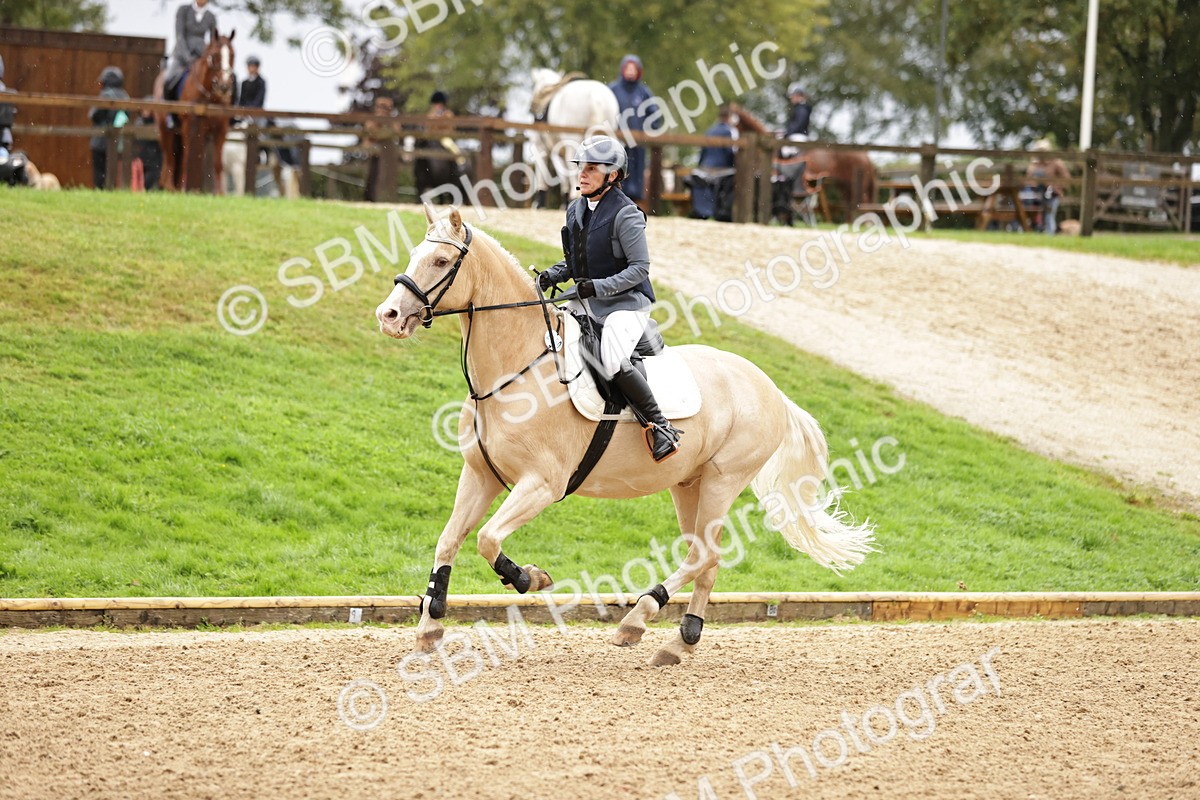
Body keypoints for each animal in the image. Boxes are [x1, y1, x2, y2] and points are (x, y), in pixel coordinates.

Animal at [154, 31, 236, 193]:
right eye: (215, 55)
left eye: (232, 54)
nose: (224, 86)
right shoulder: (189, 126)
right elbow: (187, 158)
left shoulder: (220, 130)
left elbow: (217, 163)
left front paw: (220, 193)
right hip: (165, 129)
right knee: (170, 157)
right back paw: (170, 187)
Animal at [374, 206, 875, 667]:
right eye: (415, 253)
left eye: (441, 261)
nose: (389, 315)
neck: (517, 368)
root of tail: (769, 387)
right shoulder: (481, 475)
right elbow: (450, 540)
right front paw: (429, 628)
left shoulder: (542, 484)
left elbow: (487, 539)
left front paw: (531, 578)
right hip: (689, 484)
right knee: (707, 558)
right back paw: (681, 639)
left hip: (724, 479)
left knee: (703, 554)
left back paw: (638, 618)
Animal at [529, 68, 619, 207]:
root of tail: (596, 98)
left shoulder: (543, 147)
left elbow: (547, 172)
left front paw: (540, 201)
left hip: (573, 141)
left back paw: (573, 196)